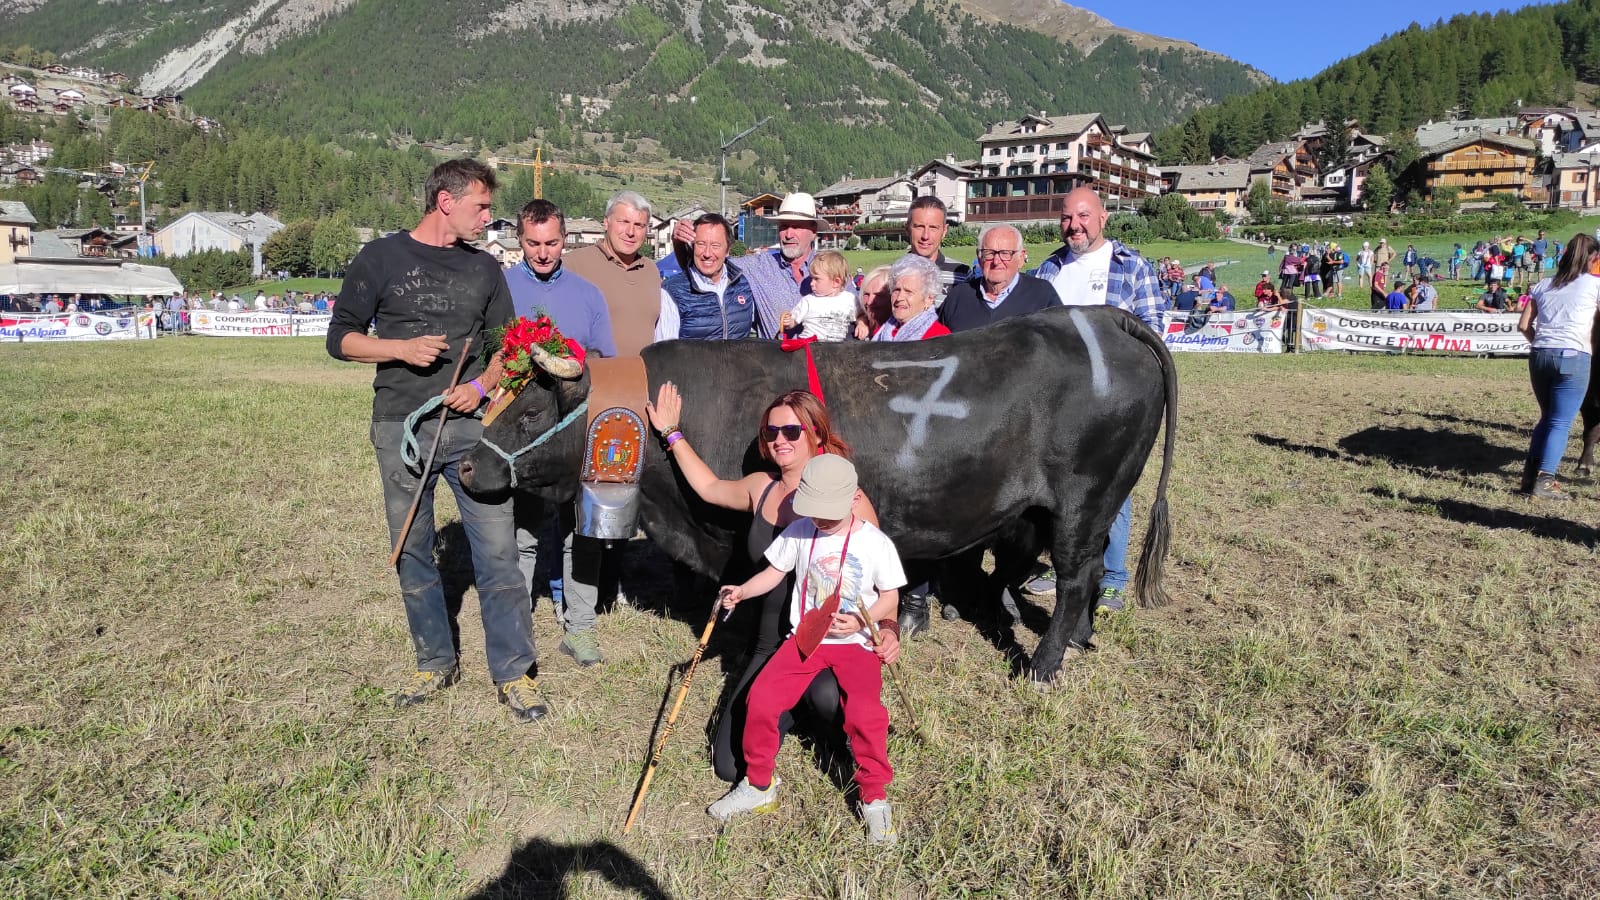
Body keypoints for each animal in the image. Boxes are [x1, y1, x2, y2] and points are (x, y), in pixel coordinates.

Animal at [460, 304, 1177, 675]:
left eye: (530, 412)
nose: (467, 468)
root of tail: (1101, 318)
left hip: (1082, 501)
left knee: (1078, 576)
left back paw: (1044, 664)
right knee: (1084, 573)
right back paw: (1078, 640)